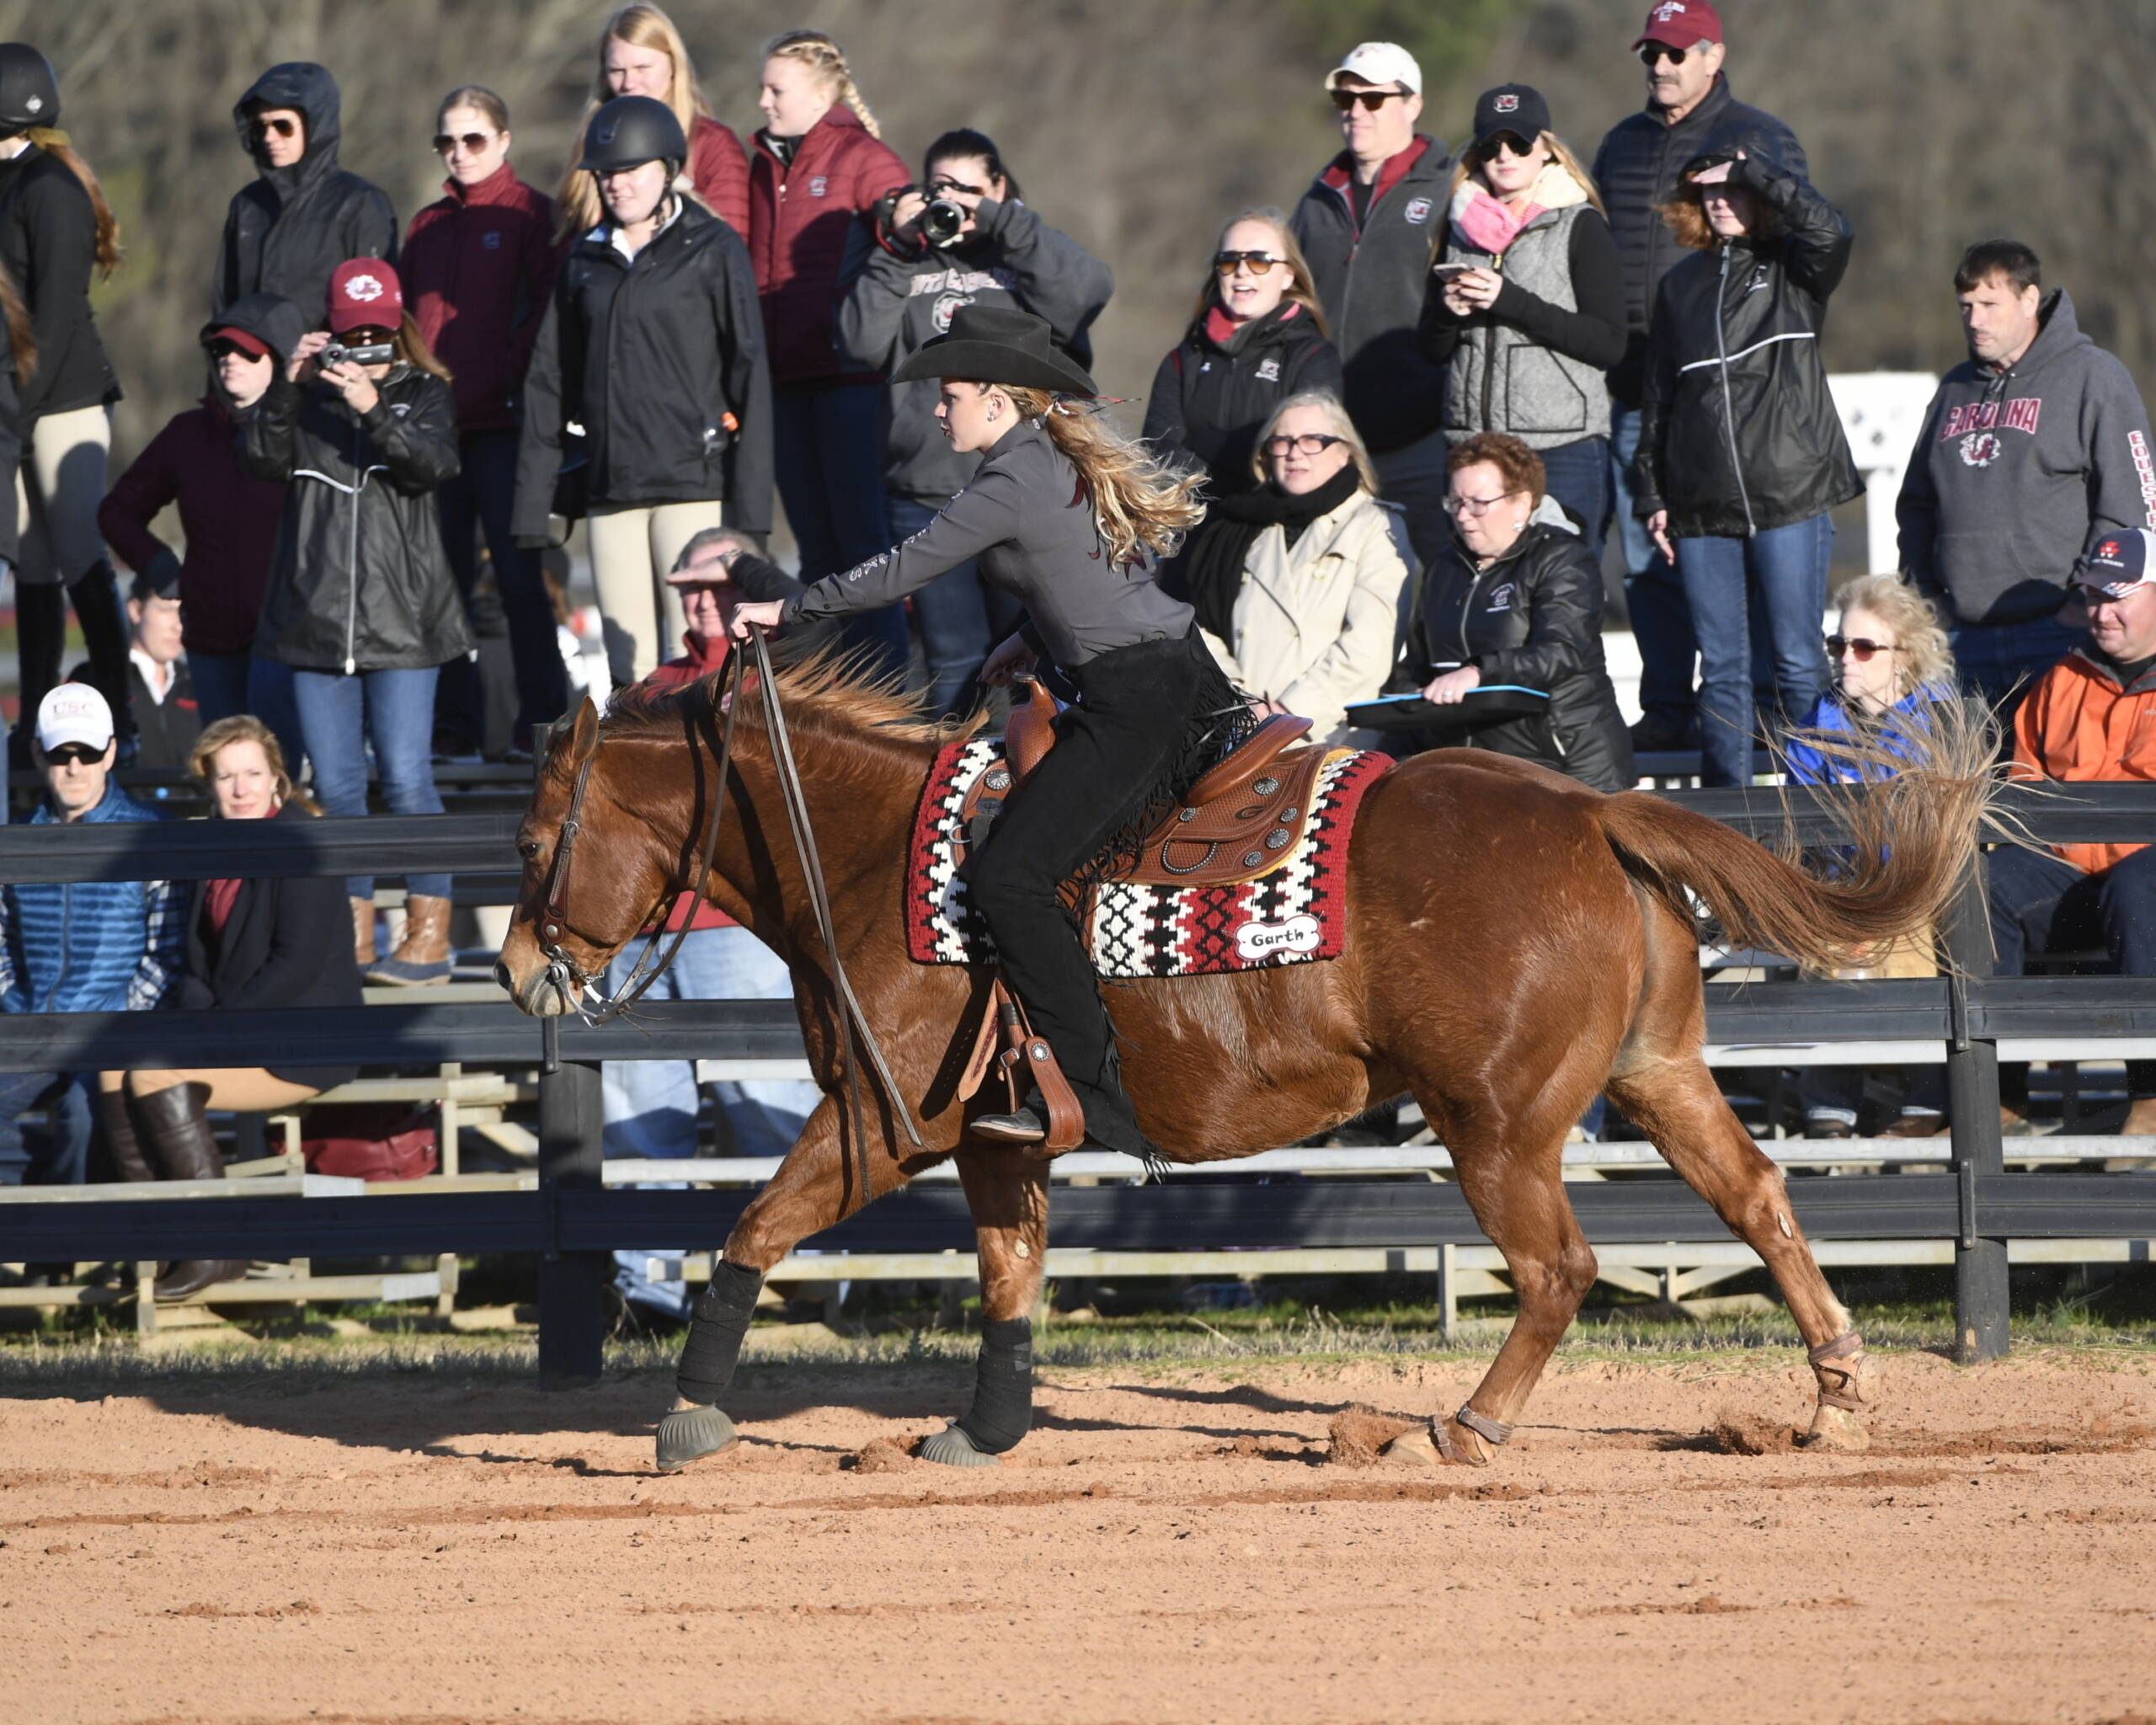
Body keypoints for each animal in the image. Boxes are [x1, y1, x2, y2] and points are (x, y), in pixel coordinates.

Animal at [499, 660, 1983, 1466]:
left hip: (1495, 1122)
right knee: (1760, 1201)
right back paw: (1837, 1398)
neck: (868, 855)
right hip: (1654, 1075)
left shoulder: (880, 1117)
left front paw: (686, 1424)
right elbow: (1009, 1279)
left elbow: (752, 1229)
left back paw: (1462, 1426)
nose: (518, 967)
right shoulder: (994, 1137)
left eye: (528, 839)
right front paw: (983, 1432)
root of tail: (1594, 811)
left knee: (1559, 1268)